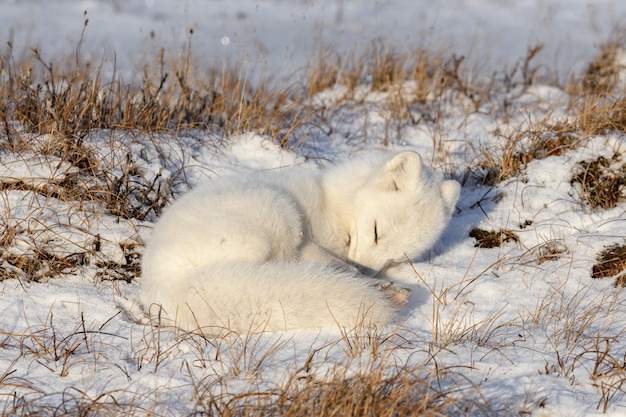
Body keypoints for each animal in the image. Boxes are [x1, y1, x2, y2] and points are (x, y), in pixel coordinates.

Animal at [140, 151, 458, 334]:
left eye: (395, 258)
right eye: (377, 231)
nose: (369, 271)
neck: (333, 205)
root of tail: (165, 283)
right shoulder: (308, 244)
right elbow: (335, 263)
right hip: (278, 215)